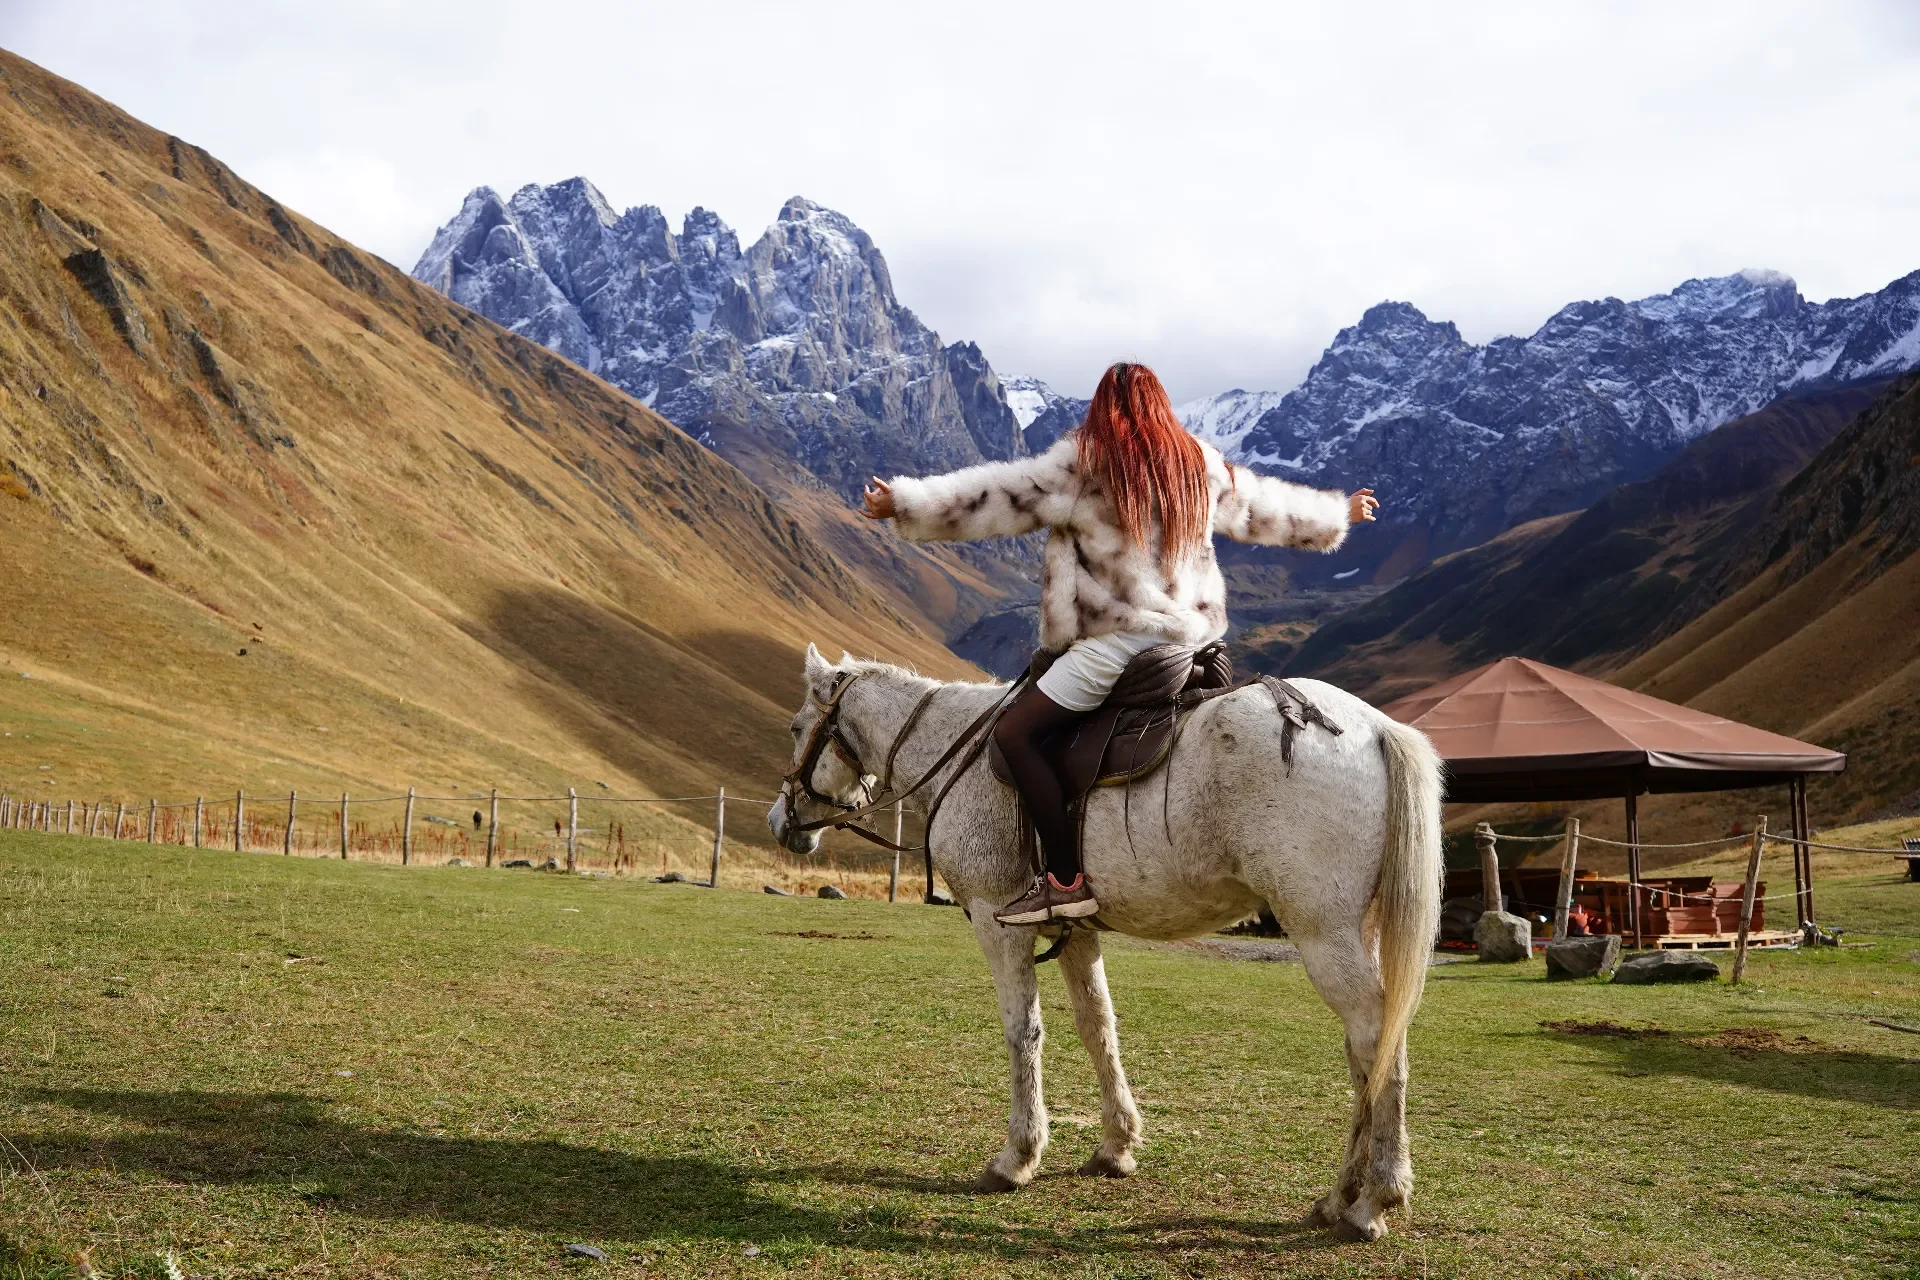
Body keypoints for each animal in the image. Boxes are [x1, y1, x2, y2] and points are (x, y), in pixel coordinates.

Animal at [767, 644, 1444, 1242]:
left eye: (797, 726)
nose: (782, 823)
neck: (954, 749)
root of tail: (1374, 727)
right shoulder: (1076, 935)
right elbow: (1100, 1029)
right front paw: (1116, 1146)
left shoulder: (995, 922)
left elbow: (1024, 1033)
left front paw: (1017, 1157)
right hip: (1356, 933)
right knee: (1368, 1051)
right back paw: (1340, 1197)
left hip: (1322, 933)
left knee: (1376, 1040)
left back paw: (1372, 1200)